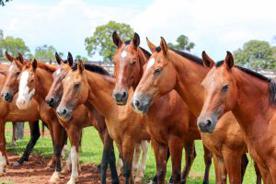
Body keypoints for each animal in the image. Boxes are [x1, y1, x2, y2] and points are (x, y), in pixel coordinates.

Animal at [44, 52, 119, 184]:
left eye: (63, 77)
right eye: (53, 76)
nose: (49, 100)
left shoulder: (74, 128)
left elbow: (73, 152)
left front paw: (72, 177)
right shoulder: (69, 128)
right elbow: (63, 148)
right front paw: (61, 173)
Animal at [112, 32, 211, 184]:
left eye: (133, 61)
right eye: (114, 61)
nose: (119, 95)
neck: (164, 101)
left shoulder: (175, 140)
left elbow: (174, 174)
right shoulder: (157, 140)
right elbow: (161, 173)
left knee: (207, 159)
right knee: (191, 156)